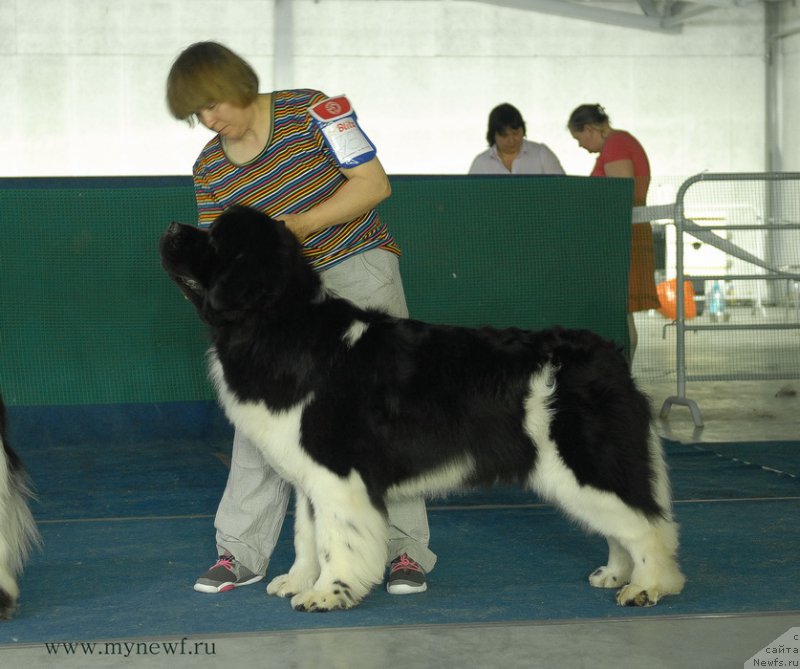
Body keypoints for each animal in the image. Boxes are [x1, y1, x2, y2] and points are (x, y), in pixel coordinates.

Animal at [159, 207, 684, 612]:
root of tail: (610, 354)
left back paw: (648, 586)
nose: (172, 227)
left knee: (646, 525)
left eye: (216, 239)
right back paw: (616, 573)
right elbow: (307, 534)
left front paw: (328, 593)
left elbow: (336, 538)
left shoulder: (338, 475)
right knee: (623, 524)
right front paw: (298, 581)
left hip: (585, 462)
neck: (277, 324)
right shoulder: (311, 478)